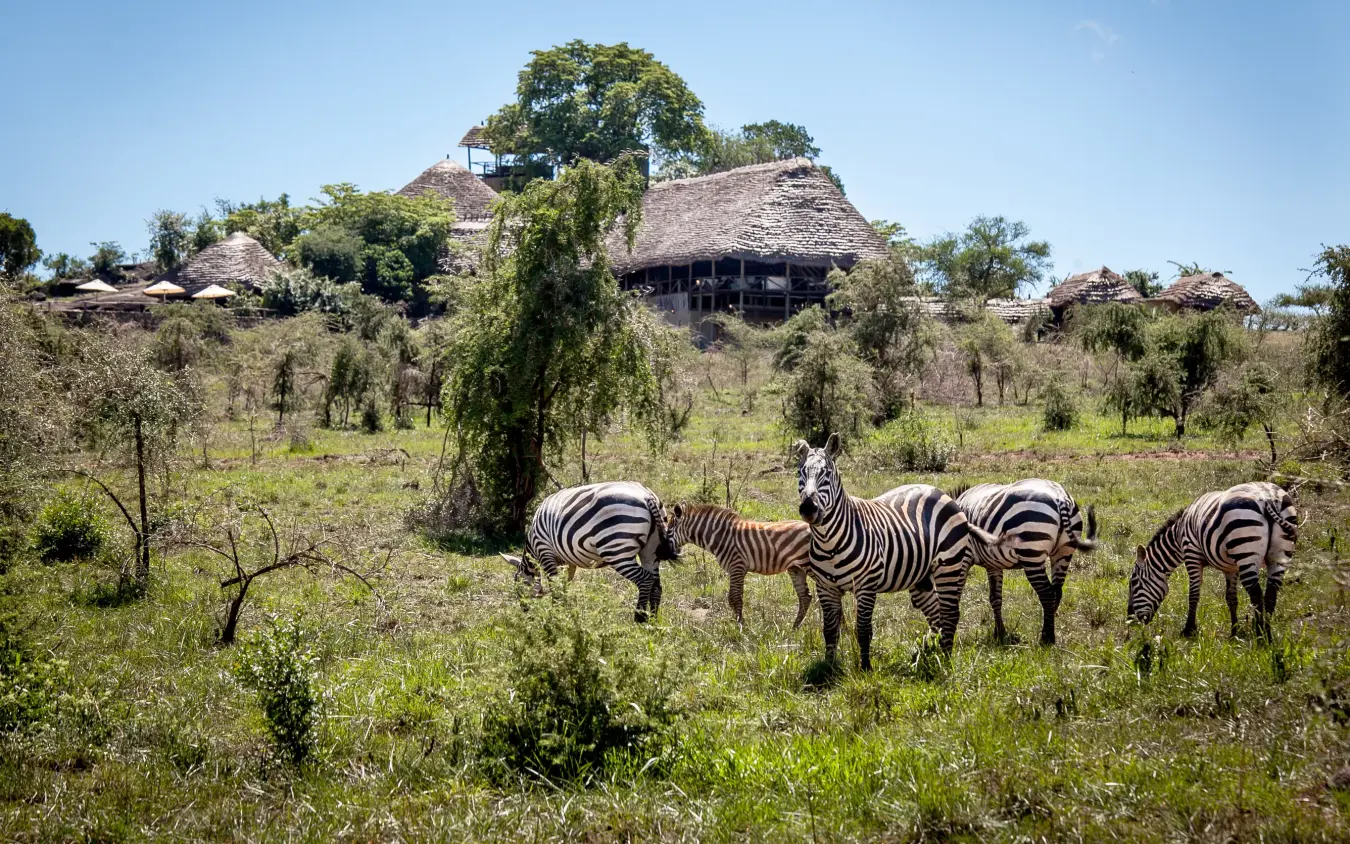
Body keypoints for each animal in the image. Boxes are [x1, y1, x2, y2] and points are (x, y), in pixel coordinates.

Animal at [500, 481, 680, 623]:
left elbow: (555, 585)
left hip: (616, 550)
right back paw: (652, 620)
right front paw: (565, 612)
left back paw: (639, 618)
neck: (532, 544)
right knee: (656, 585)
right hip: (651, 550)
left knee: (645, 580)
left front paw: (556, 616)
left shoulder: (545, 551)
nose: (526, 613)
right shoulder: (566, 560)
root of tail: (646, 496)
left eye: (518, 586)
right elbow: (564, 584)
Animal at [667, 503, 814, 628]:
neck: (722, 537)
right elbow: (732, 598)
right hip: (796, 568)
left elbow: (735, 598)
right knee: (805, 596)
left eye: (668, 530)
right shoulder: (734, 569)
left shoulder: (737, 566)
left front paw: (740, 626)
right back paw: (795, 628)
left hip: (809, 565)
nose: (665, 552)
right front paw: (736, 622)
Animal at [794, 434, 1006, 668]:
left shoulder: (866, 586)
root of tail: (941, 493)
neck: (829, 542)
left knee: (950, 613)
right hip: (921, 577)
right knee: (936, 614)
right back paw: (933, 653)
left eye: (827, 474)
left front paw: (865, 669)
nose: (808, 509)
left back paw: (945, 660)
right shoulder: (825, 588)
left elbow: (864, 630)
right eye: (800, 473)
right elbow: (830, 631)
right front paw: (829, 668)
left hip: (949, 566)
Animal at [953, 479, 1099, 645]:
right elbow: (995, 598)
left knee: (1047, 594)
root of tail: (1060, 497)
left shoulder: (964, 558)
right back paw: (1049, 630)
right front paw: (999, 634)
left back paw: (1046, 639)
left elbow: (956, 594)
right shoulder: (993, 563)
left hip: (1031, 554)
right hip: (1063, 553)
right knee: (1057, 592)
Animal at [1129, 481, 1297, 639]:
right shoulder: (1231, 567)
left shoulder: (1192, 554)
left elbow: (1193, 593)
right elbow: (1231, 598)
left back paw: (1260, 635)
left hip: (1246, 550)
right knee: (1271, 594)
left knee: (1256, 594)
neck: (1178, 534)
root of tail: (1266, 497)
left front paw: (1189, 630)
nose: (1131, 619)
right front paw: (1234, 633)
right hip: (1278, 556)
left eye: (1134, 583)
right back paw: (1267, 635)